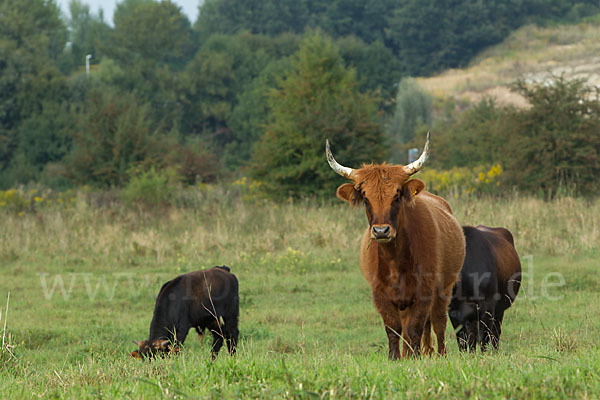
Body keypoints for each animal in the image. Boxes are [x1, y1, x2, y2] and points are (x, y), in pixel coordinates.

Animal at [328, 134, 464, 360]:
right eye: (365, 198)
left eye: (397, 195)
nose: (381, 231)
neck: (395, 262)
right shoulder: (380, 295)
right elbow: (393, 329)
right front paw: (395, 357)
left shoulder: (424, 292)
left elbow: (415, 328)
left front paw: (415, 356)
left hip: (444, 289)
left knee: (438, 324)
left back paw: (439, 353)